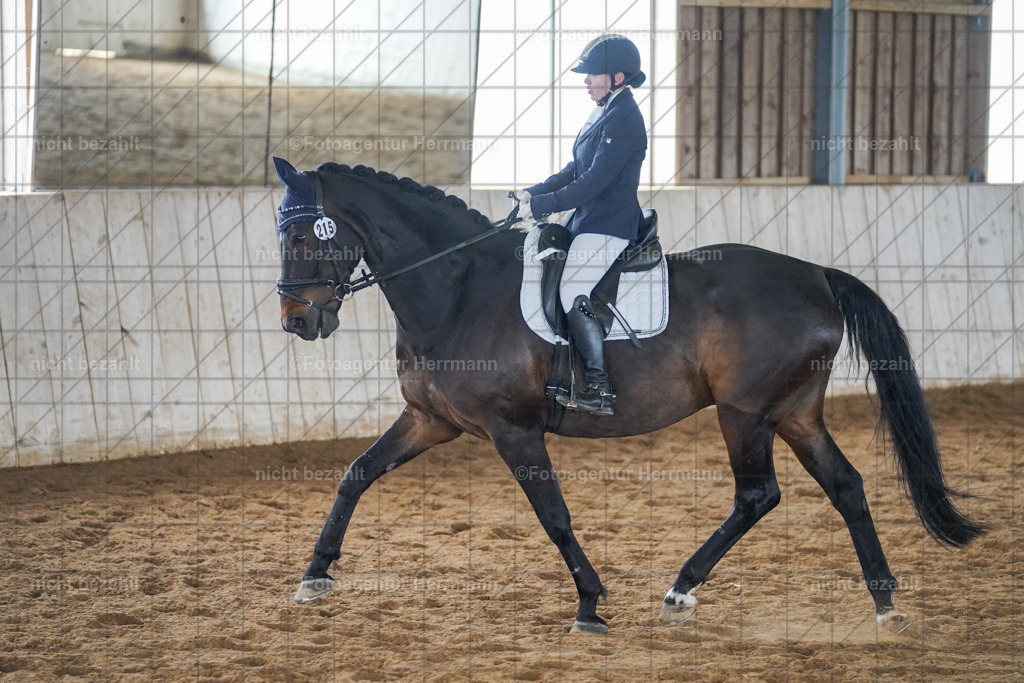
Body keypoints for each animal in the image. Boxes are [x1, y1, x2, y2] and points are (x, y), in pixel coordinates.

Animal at [272, 157, 985, 635]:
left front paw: (589, 604)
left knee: (758, 495)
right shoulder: (429, 420)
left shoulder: (513, 430)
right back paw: (885, 603)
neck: (456, 288)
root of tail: (819, 276)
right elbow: (355, 474)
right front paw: (314, 574)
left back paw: (681, 590)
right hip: (794, 412)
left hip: (746, 412)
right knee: (846, 486)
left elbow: (554, 516)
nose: (298, 322)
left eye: (305, 236)